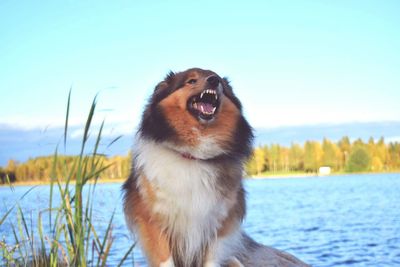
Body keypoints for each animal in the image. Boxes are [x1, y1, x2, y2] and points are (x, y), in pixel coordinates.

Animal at [122, 69, 310, 267]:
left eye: (218, 79)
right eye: (191, 80)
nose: (214, 81)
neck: (194, 155)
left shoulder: (219, 221)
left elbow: (212, 258)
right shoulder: (153, 220)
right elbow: (165, 259)